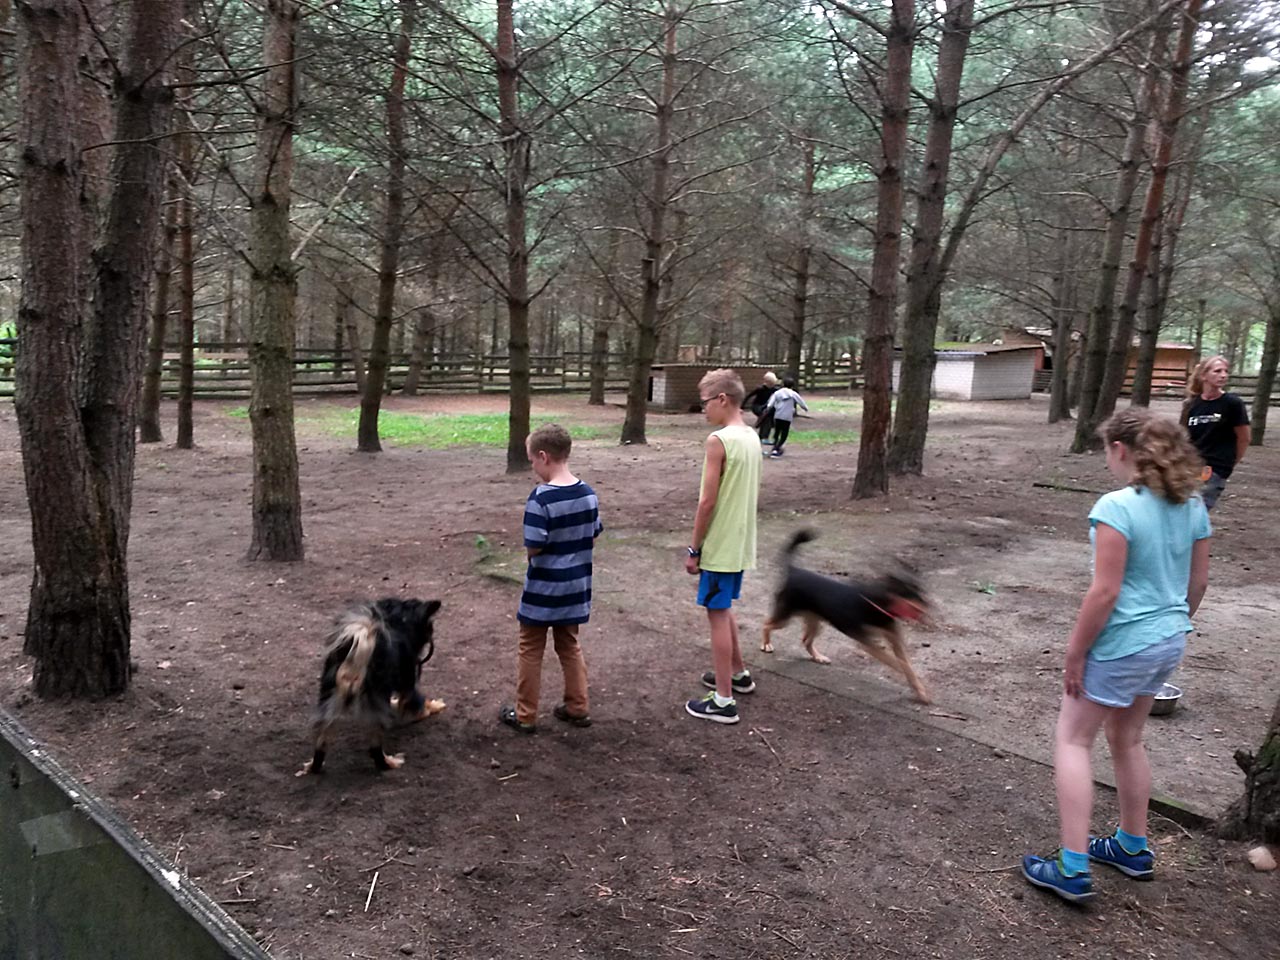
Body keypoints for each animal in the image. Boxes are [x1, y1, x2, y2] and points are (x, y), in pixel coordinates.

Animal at [297, 598, 446, 776]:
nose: (431, 637)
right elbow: (418, 702)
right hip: (375, 702)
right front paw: (431, 708)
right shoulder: (407, 682)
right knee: (375, 748)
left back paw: (314, 766)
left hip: (330, 698)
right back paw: (388, 763)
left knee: (322, 741)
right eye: (430, 626)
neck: (397, 619)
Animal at [761, 531, 932, 703]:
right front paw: (903, 674)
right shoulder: (867, 643)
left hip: (816, 622)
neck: (880, 603)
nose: (929, 606)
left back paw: (818, 657)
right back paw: (766, 645)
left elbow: (907, 666)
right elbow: (895, 662)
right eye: (911, 594)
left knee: (806, 641)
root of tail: (793, 570)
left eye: (921, 592)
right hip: (785, 617)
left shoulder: (894, 639)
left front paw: (920, 690)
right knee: (766, 624)